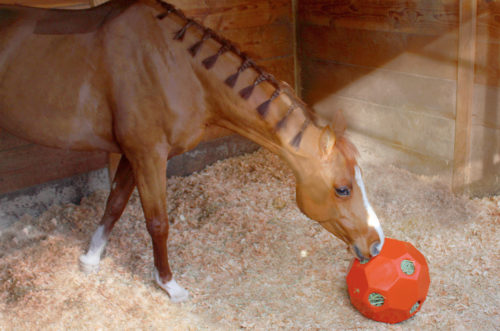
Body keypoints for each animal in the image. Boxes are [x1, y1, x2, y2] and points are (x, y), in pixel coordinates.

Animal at [0, 0, 386, 302]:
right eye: (342, 189)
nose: (377, 244)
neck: (173, 66)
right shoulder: (149, 155)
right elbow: (158, 223)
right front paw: (169, 285)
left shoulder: (134, 155)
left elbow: (115, 202)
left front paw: (91, 259)